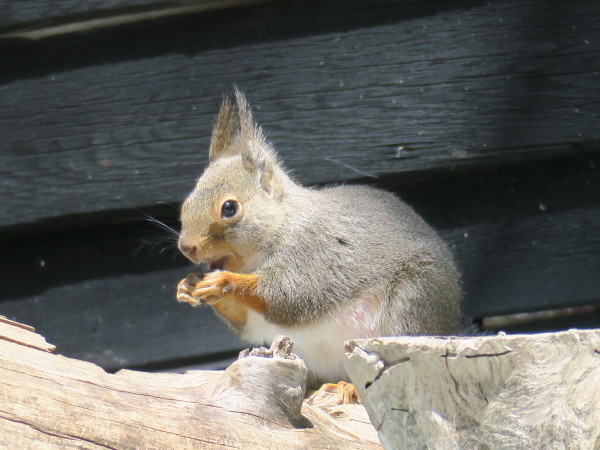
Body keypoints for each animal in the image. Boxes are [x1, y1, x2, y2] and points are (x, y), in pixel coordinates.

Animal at [176, 90, 462, 390]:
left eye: (229, 208)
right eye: (185, 204)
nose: (186, 247)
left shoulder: (312, 252)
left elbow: (287, 295)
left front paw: (223, 282)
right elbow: (245, 321)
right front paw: (187, 286)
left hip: (410, 304)